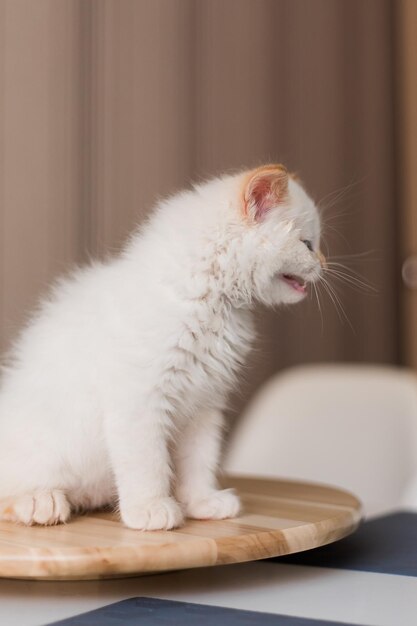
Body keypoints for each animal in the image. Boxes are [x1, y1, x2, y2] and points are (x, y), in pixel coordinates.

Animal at [0, 165, 324, 528]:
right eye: (307, 244)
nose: (324, 264)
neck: (212, 303)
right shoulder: (140, 401)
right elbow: (148, 464)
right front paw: (151, 509)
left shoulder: (204, 406)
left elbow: (199, 462)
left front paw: (202, 503)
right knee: (11, 493)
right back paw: (40, 502)